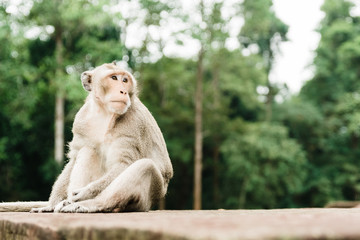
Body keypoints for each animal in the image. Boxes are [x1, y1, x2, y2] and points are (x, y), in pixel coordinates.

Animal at [0, 62, 173, 214]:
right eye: (114, 78)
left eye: (125, 80)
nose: (123, 91)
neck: (105, 112)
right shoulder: (80, 121)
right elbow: (75, 157)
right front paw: (52, 203)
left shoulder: (134, 123)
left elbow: (125, 163)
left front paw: (86, 193)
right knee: (88, 150)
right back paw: (66, 203)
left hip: (148, 197)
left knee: (145, 166)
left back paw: (91, 204)